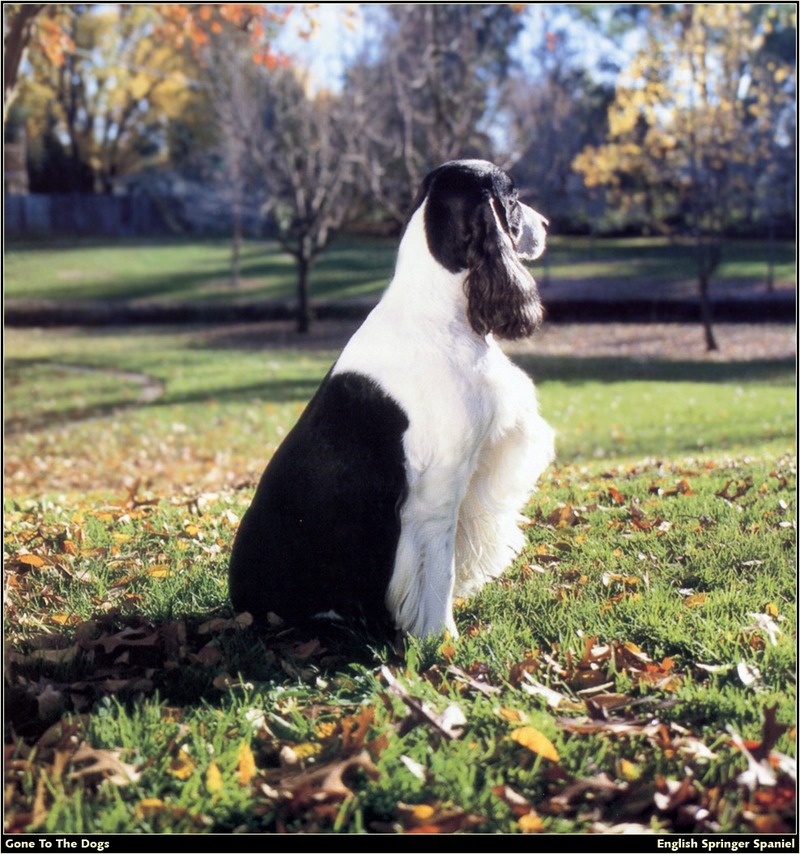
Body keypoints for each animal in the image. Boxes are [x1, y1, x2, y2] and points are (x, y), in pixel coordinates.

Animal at [231, 162, 552, 640]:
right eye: (511, 198)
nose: (546, 225)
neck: (441, 313)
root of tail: (240, 606)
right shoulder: (440, 489)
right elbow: (440, 570)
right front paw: (443, 639)